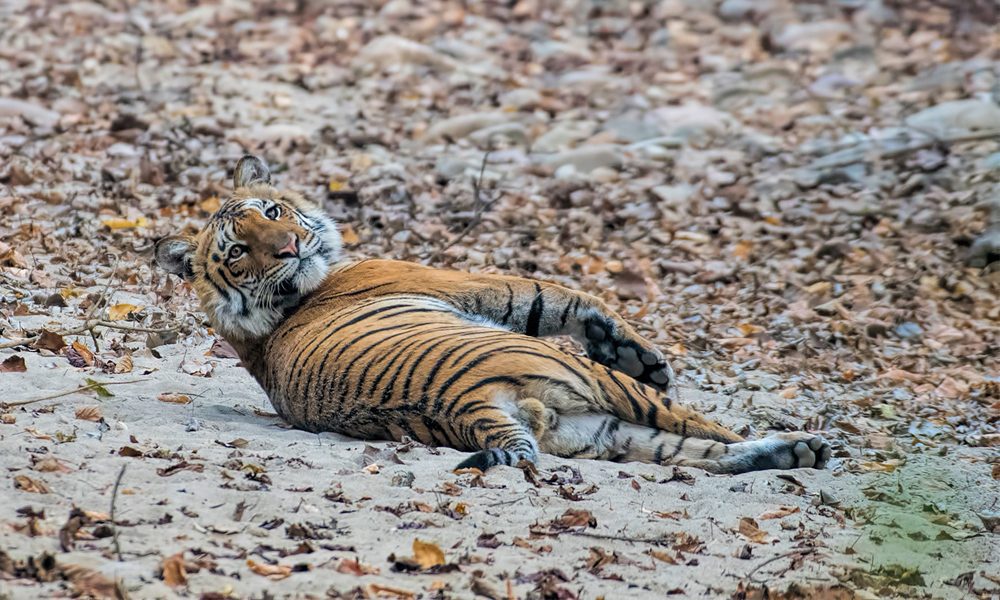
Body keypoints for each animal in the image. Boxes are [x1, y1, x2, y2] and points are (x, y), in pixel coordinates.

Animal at [154, 155, 828, 474]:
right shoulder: (470, 285)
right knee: (706, 429)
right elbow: (559, 295)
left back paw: (794, 456)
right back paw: (813, 446)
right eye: (238, 251)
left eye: (270, 211)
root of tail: (467, 408)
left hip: (599, 431)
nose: (291, 247)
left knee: (700, 455)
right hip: (590, 387)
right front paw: (644, 357)